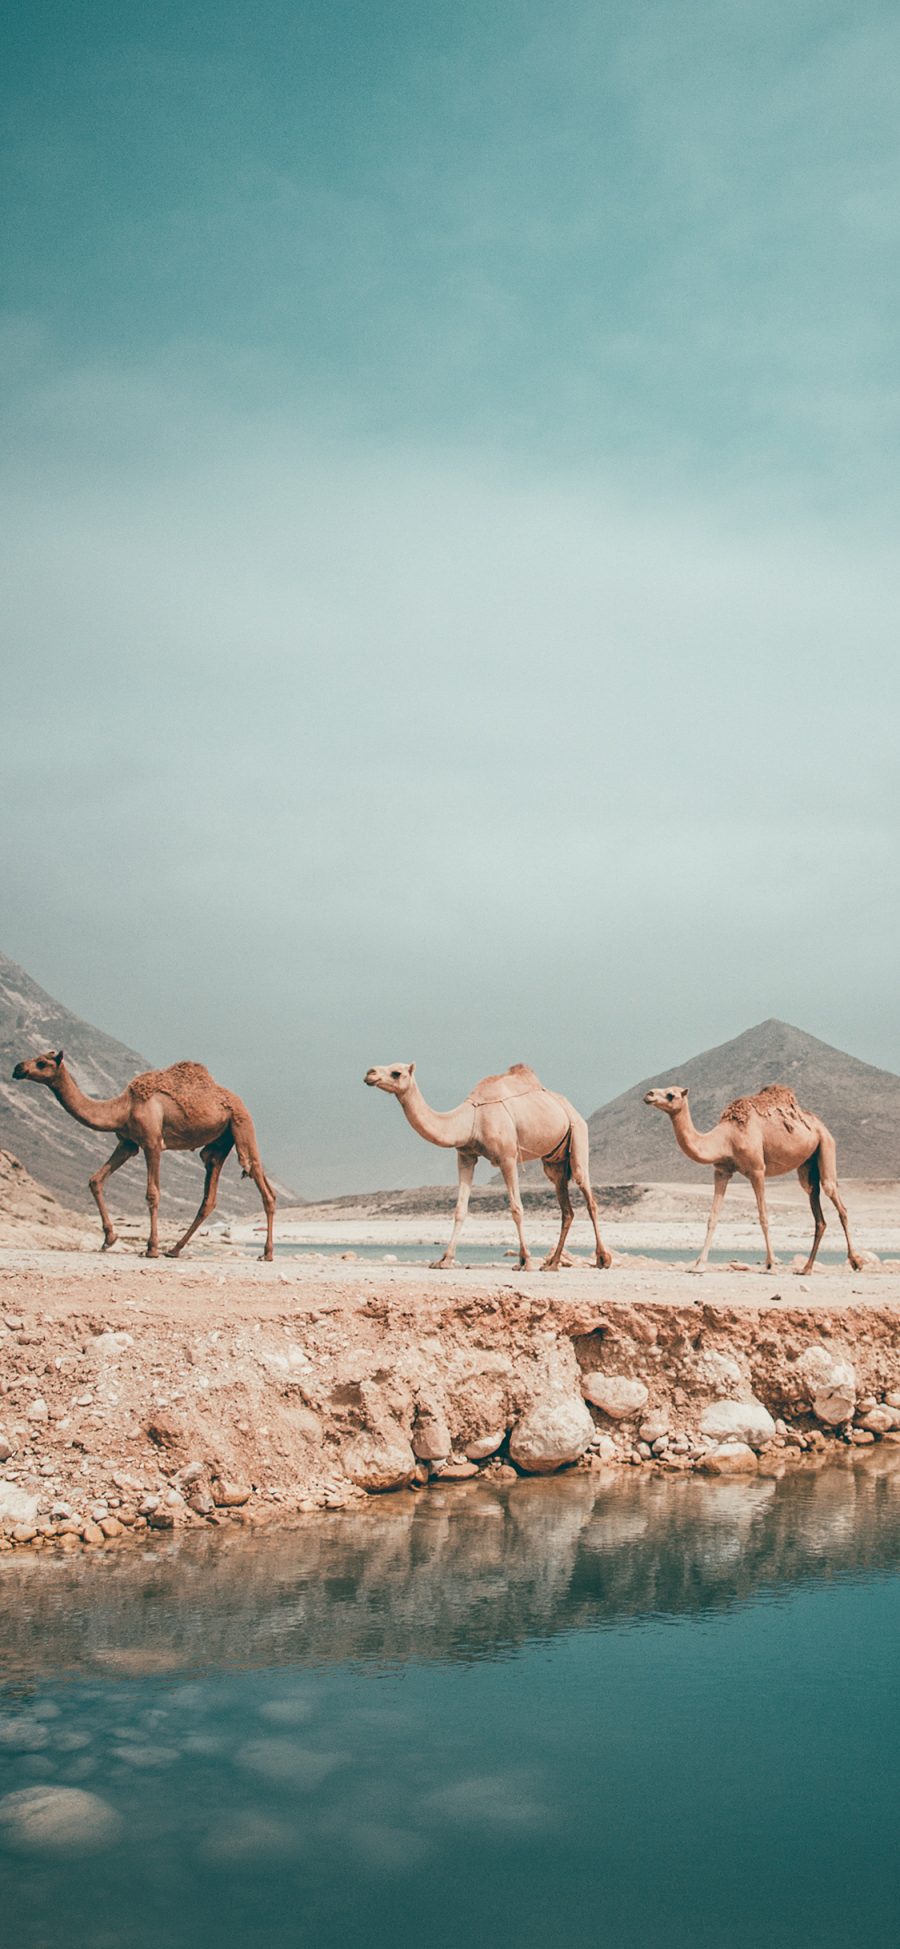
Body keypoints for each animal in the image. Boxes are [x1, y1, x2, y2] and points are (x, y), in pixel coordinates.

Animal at [12, 1052, 274, 1262]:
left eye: (42, 1062)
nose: (18, 1067)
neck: (124, 1108)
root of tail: (239, 1102)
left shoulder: (152, 1142)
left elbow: (152, 1194)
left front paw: (151, 1248)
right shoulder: (128, 1143)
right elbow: (95, 1179)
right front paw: (109, 1238)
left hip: (242, 1127)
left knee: (261, 1181)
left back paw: (267, 1254)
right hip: (218, 1143)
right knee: (209, 1195)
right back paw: (174, 1250)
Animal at [366, 1060, 611, 1270]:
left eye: (396, 1072)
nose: (370, 1073)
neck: (473, 1119)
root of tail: (570, 1108)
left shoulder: (507, 1157)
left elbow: (516, 1208)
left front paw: (525, 1260)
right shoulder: (466, 1156)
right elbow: (460, 1209)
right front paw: (444, 1260)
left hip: (578, 1134)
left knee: (588, 1196)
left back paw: (602, 1259)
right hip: (554, 1163)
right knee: (566, 1209)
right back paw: (551, 1264)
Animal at [642, 1083, 861, 1278]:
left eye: (671, 1095)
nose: (648, 1094)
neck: (727, 1137)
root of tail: (819, 1125)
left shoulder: (757, 1170)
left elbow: (763, 1217)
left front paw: (771, 1265)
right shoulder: (722, 1171)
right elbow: (712, 1217)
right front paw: (698, 1266)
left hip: (826, 1145)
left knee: (837, 1199)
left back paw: (856, 1262)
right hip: (807, 1166)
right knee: (817, 1210)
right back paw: (806, 1269)